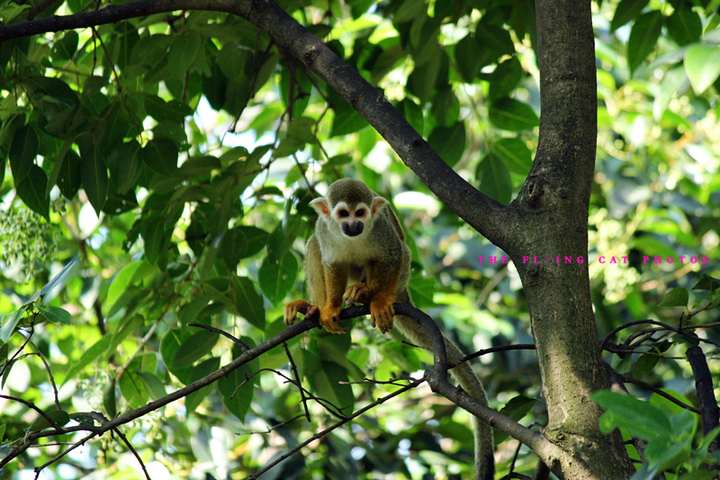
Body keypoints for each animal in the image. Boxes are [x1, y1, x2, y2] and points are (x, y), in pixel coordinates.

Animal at [282, 179, 496, 480]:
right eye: (343, 214)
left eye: (360, 213)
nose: (353, 225)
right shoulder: (326, 231)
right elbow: (331, 263)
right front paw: (330, 308)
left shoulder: (381, 230)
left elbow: (392, 254)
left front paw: (380, 300)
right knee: (314, 246)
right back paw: (313, 308)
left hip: (401, 277)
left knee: (399, 253)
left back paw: (366, 294)